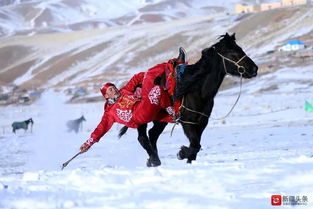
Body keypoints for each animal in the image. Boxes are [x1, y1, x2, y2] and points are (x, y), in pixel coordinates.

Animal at [118, 32, 258, 167]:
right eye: (233, 53)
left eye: (240, 49)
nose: (254, 69)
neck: (197, 90)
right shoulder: (187, 122)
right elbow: (195, 145)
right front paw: (181, 153)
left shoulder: (201, 123)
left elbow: (195, 145)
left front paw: (188, 159)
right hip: (145, 113)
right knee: (142, 136)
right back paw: (154, 159)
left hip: (161, 119)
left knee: (152, 134)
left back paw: (153, 160)